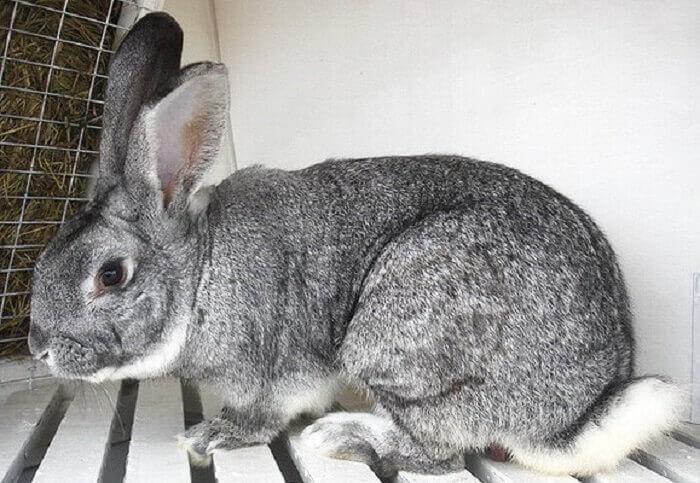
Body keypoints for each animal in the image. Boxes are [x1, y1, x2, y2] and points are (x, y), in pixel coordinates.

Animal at [28, 12, 685, 477]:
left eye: (111, 275)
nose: (39, 348)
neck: (203, 273)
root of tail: (570, 417)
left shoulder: (269, 370)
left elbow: (260, 415)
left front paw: (210, 436)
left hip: (395, 330)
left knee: (440, 453)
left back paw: (340, 436)